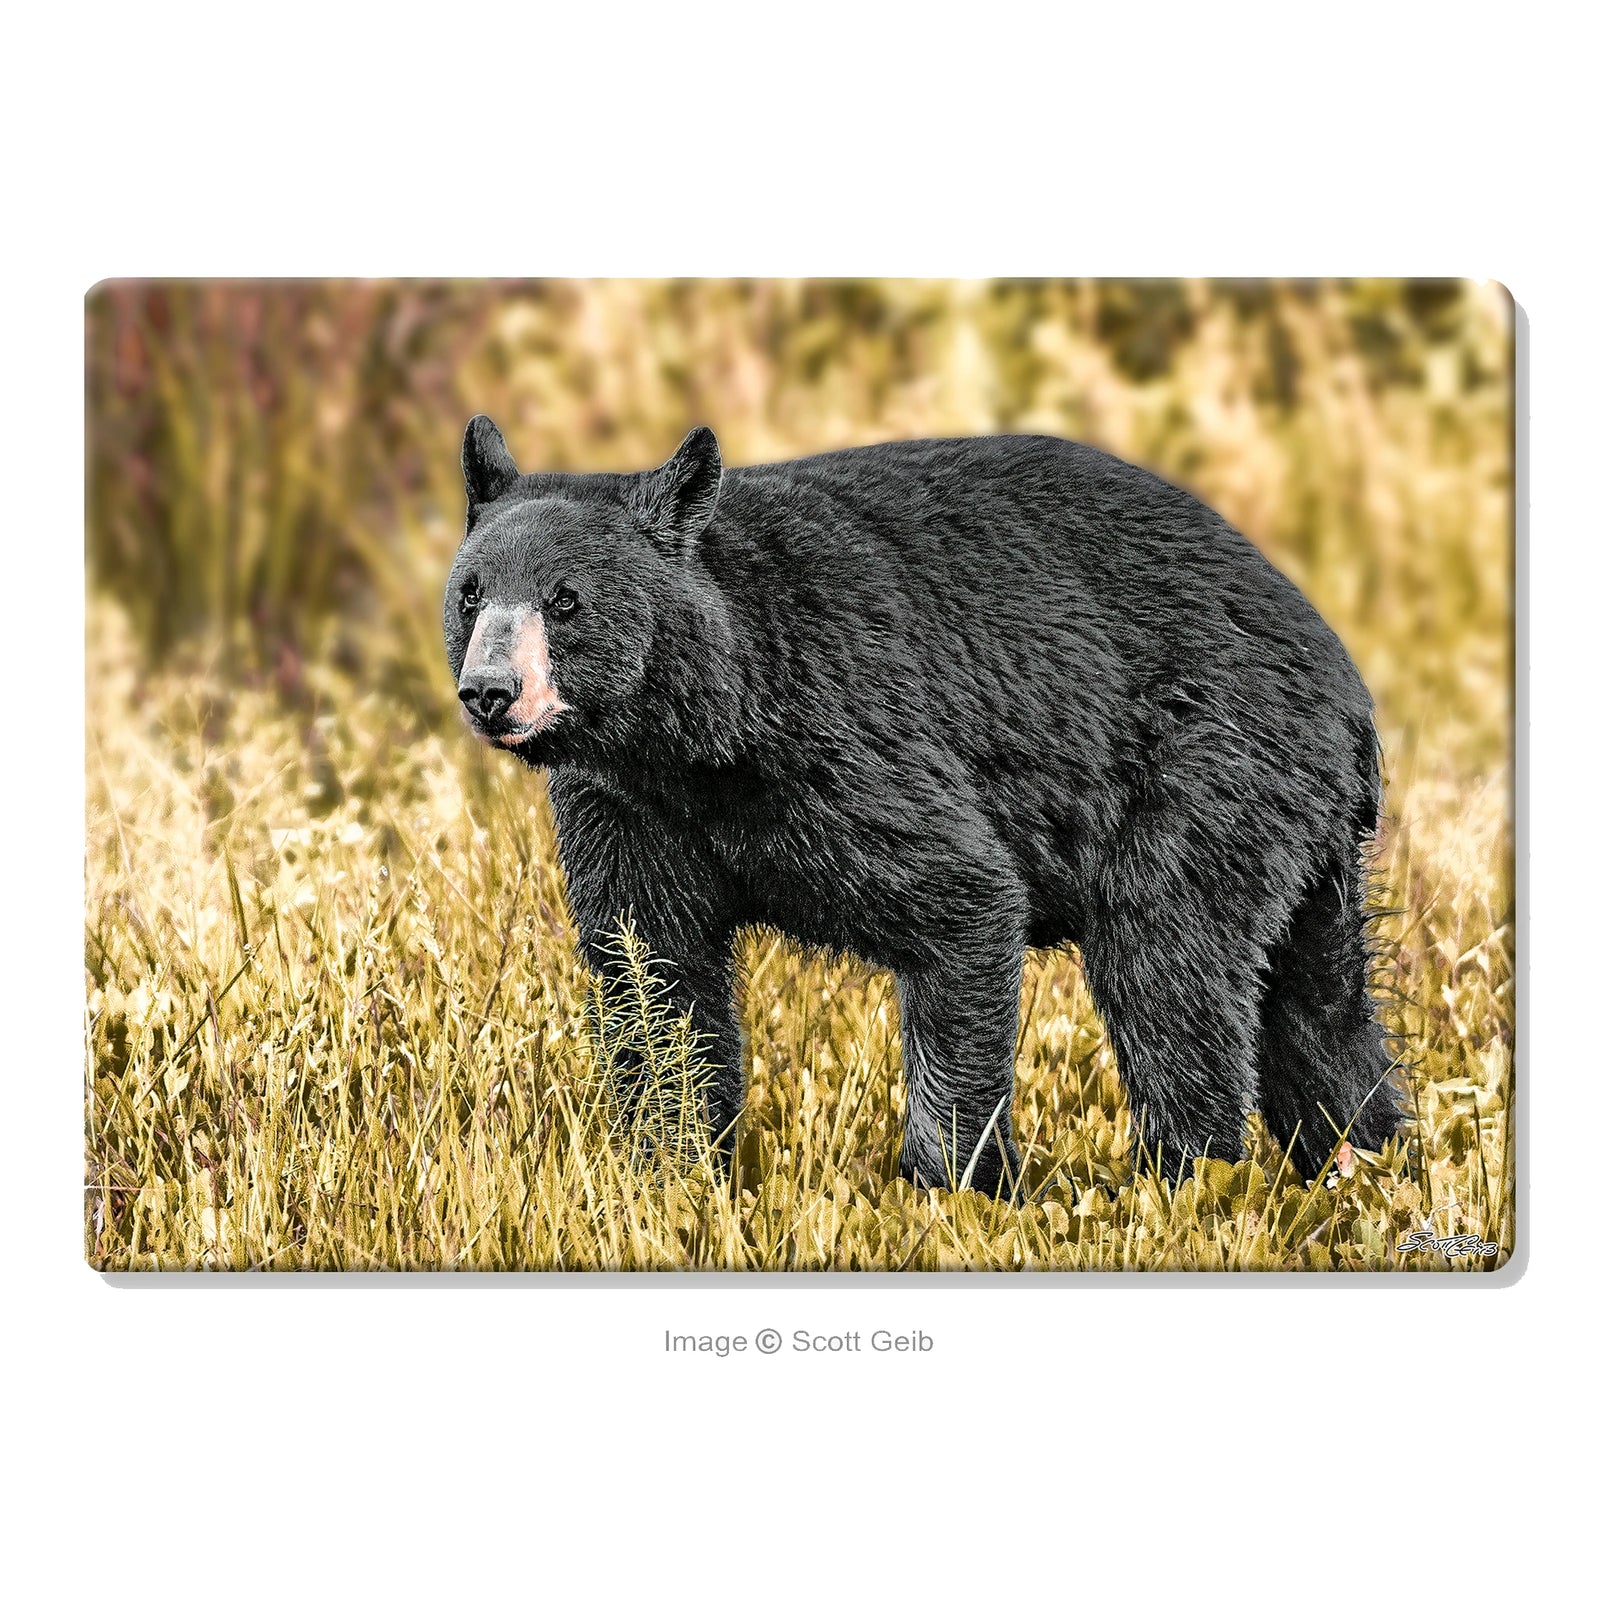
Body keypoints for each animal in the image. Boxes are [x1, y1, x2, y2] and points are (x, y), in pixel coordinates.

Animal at [444, 415, 1403, 1199]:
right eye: (471, 592)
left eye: (567, 599)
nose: (491, 691)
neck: (701, 740)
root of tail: (1346, 683)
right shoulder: (629, 808)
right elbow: (654, 973)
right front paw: (671, 1174)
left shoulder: (848, 739)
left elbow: (963, 902)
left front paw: (959, 1189)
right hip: (1296, 826)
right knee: (1319, 1004)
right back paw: (1371, 1159)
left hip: (1207, 765)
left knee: (1170, 966)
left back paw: (1187, 1181)